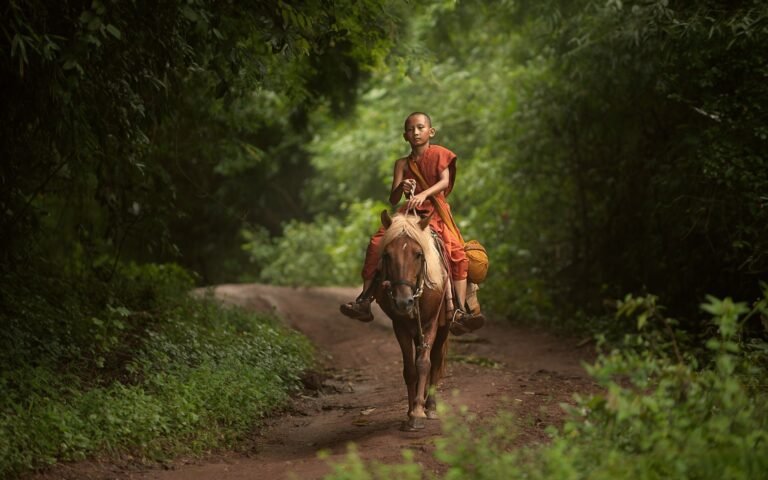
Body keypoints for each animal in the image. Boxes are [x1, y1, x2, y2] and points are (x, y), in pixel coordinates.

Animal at [373, 210, 451, 431]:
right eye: (387, 255)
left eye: (418, 254)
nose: (403, 301)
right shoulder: (400, 327)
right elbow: (409, 369)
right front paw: (409, 413)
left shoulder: (431, 323)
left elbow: (424, 364)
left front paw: (418, 412)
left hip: (443, 328)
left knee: (436, 360)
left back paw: (430, 407)